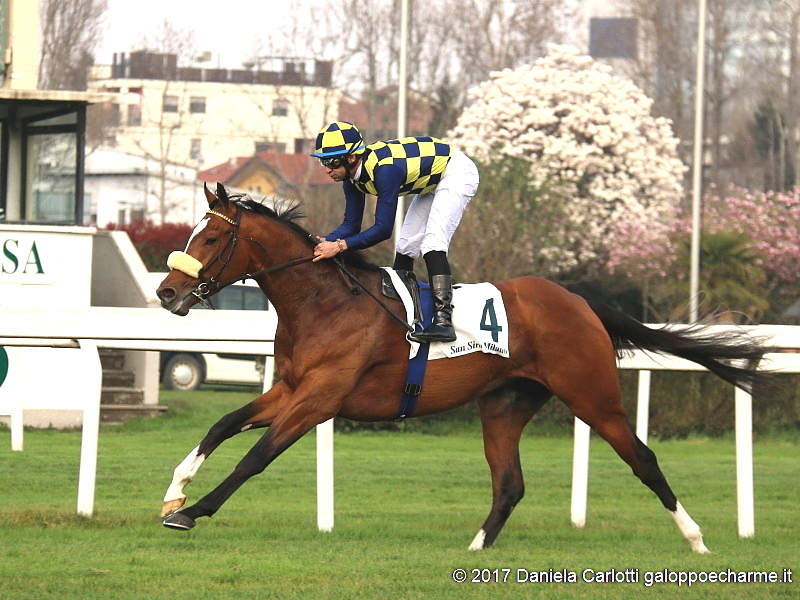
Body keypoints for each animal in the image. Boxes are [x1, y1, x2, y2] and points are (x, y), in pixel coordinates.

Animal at [153, 183, 772, 552]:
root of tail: (579, 302)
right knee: (510, 483)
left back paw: (696, 539)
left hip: (593, 396)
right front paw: (175, 490)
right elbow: (223, 425)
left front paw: (193, 511)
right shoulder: (292, 388)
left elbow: (256, 456)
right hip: (504, 404)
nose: (166, 292)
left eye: (211, 236)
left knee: (642, 458)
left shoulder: (320, 397)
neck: (324, 301)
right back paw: (475, 549)